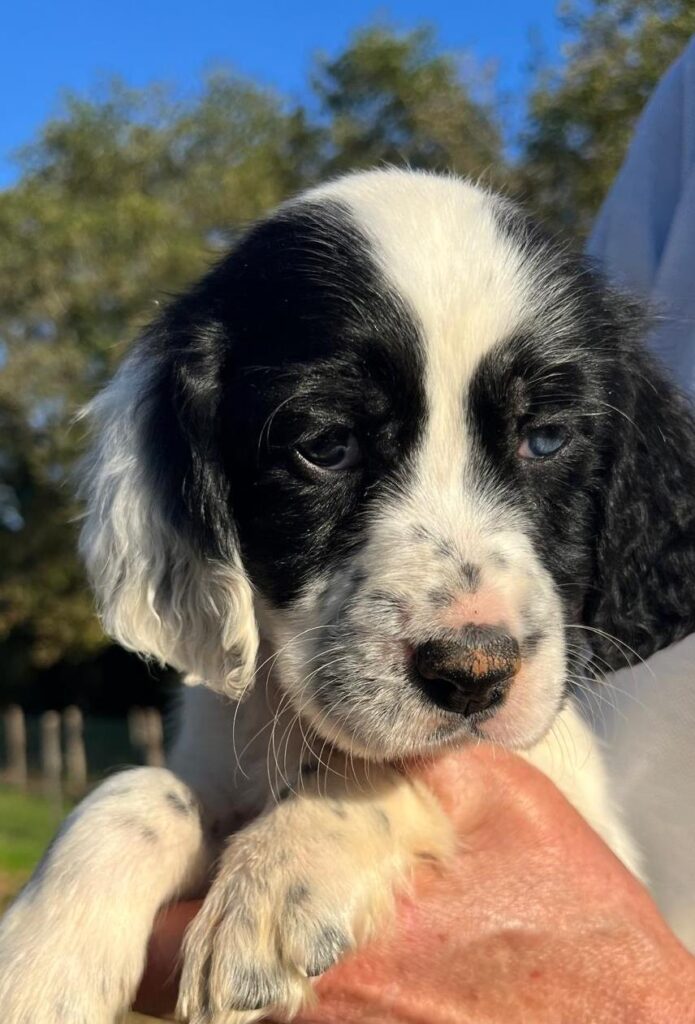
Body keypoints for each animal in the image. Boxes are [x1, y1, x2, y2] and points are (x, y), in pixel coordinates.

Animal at [1, 172, 695, 1019]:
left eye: (546, 439)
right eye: (324, 447)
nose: (472, 674)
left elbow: (388, 763)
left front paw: (279, 877)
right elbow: (139, 790)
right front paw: (39, 963)